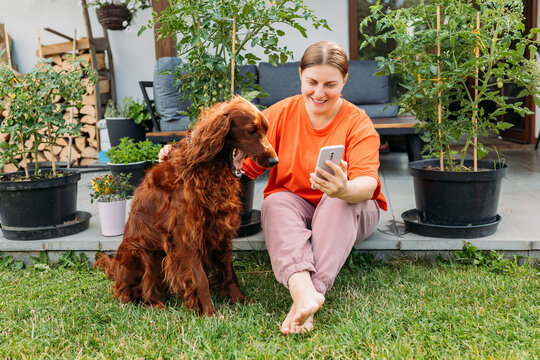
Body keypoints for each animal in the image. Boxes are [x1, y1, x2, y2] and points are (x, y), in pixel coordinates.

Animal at [95, 96, 278, 316]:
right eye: (251, 130)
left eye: (266, 130)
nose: (274, 160)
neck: (207, 169)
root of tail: (115, 267)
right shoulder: (185, 236)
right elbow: (201, 279)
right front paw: (209, 313)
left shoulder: (219, 229)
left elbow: (228, 272)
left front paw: (240, 300)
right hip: (140, 253)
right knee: (130, 291)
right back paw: (154, 305)